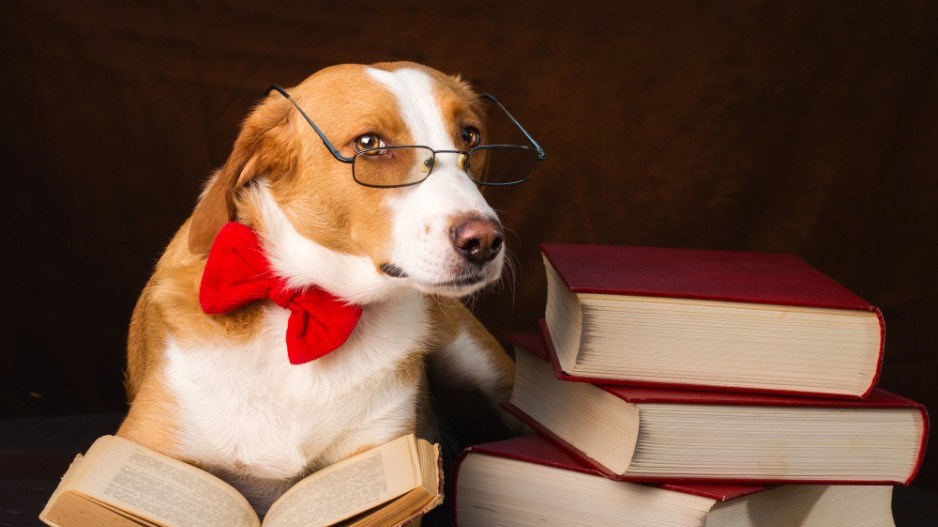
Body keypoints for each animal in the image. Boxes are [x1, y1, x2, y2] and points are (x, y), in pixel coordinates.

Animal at [117, 60, 540, 512]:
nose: (485, 241)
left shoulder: (386, 451)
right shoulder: (137, 446)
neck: (308, 306)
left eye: (471, 136)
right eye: (370, 143)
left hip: (484, 367)